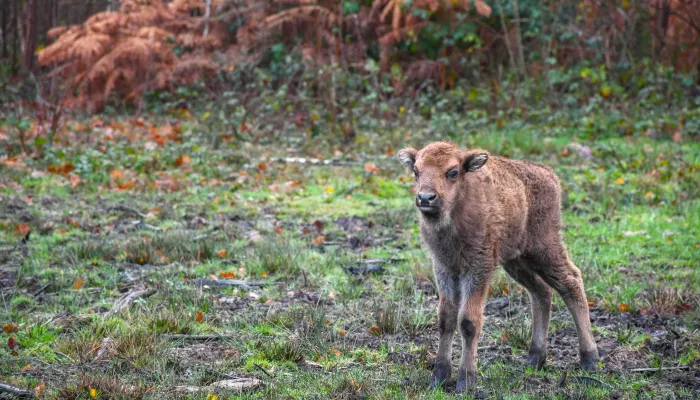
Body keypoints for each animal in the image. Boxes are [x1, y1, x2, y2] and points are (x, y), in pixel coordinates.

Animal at [396, 142, 600, 392]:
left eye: (453, 172)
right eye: (416, 171)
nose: (425, 198)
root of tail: (549, 174)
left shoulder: (478, 268)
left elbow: (468, 321)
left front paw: (466, 382)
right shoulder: (444, 268)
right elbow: (446, 318)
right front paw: (439, 377)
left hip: (544, 249)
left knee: (571, 281)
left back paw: (590, 359)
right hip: (516, 260)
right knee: (541, 291)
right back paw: (535, 358)